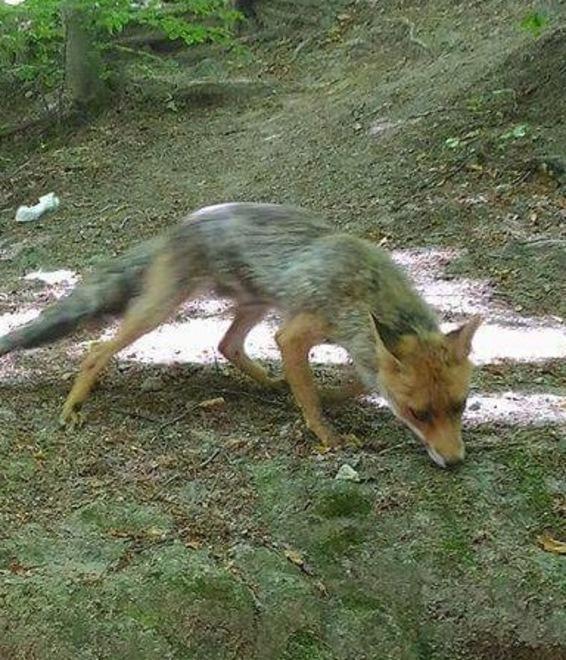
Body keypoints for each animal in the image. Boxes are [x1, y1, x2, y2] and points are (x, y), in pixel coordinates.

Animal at [0, 203, 482, 467]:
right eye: (419, 413)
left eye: (459, 406)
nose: (455, 462)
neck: (367, 289)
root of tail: (178, 227)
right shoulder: (294, 333)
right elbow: (314, 400)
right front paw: (326, 434)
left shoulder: (348, 345)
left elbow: (357, 383)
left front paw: (329, 396)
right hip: (160, 309)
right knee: (97, 349)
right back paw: (73, 404)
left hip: (255, 304)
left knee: (227, 345)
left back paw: (272, 383)